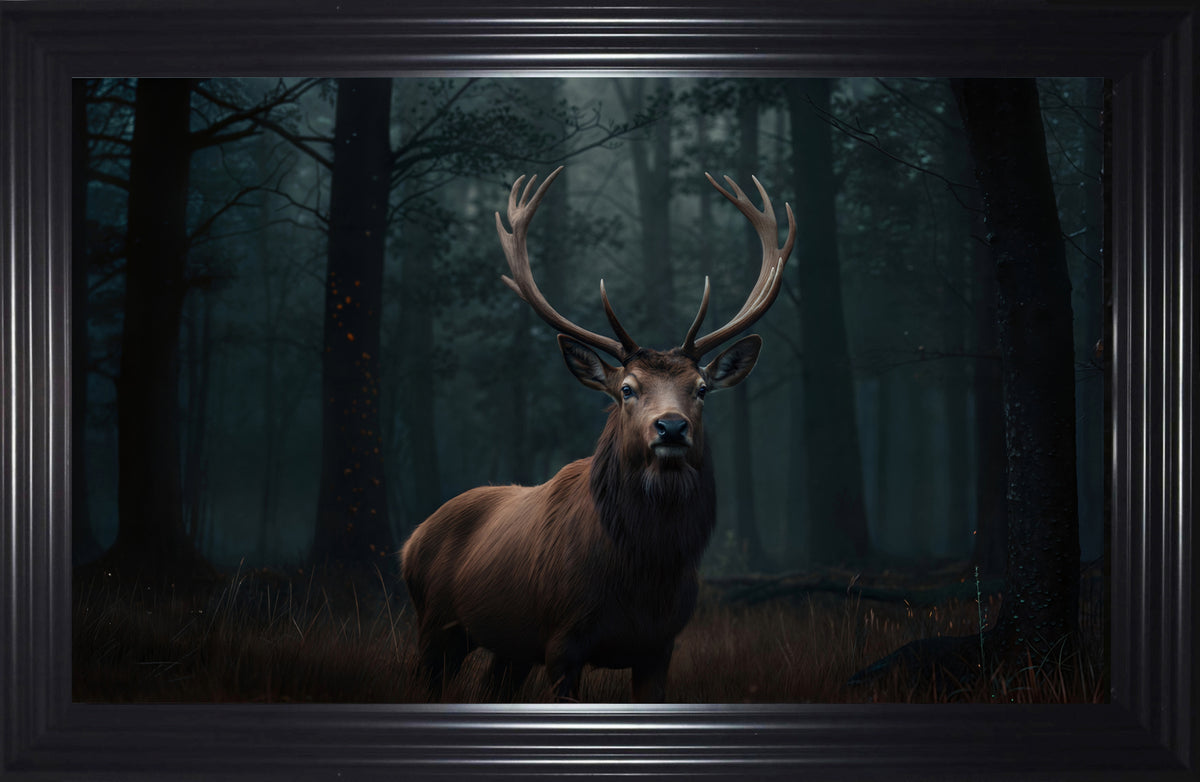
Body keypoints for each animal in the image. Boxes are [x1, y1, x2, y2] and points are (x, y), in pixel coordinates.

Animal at [400, 166, 795, 702]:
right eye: (627, 389)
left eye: (701, 389)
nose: (671, 426)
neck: (643, 571)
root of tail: (410, 541)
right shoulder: (562, 639)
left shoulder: (661, 645)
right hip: (435, 625)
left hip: (508, 648)